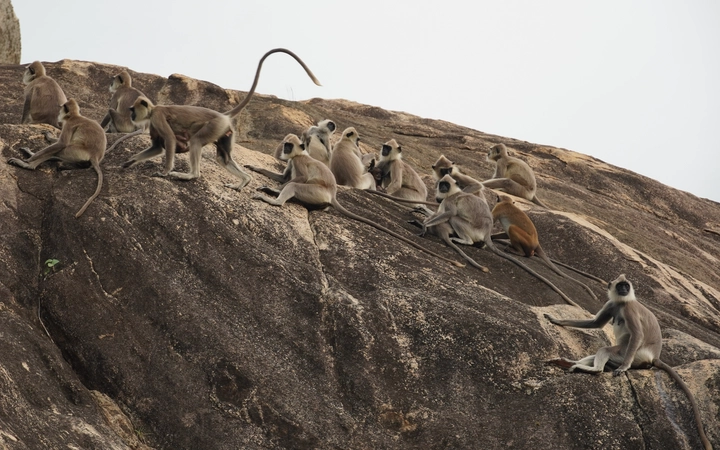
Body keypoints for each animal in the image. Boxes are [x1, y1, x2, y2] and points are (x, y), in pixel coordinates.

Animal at [122, 48, 321, 190]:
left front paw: (164, 172)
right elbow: (157, 147)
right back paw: (244, 181)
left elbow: (169, 140)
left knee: (196, 141)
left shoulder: (157, 117)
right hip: (225, 132)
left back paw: (191, 175)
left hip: (214, 126)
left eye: (132, 109)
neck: (152, 109)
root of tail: (223, 115)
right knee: (223, 158)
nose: (131, 115)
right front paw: (129, 161)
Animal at [245, 134, 464, 268]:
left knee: (294, 188)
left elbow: (295, 180)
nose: (284, 148)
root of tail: (332, 194)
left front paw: (274, 190)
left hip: (315, 192)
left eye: (289, 145)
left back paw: (274, 200)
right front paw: (255, 169)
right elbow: (282, 178)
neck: (299, 154)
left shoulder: (298, 162)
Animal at [421, 175, 581, 307]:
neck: (452, 193)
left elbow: (449, 213)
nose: (442, 187)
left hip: (473, 230)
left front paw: (425, 224)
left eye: (446, 185)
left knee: (455, 218)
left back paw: (465, 241)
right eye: (442, 184)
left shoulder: (449, 201)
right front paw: (422, 211)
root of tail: (486, 233)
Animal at [545, 275, 713, 450]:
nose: (624, 290)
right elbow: (595, 323)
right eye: (620, 286)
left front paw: (624, 368)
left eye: (626, 286)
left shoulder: (629, 309)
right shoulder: (611, 304)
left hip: (631, 354)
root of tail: (654, 357)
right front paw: (556, 320)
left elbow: (637, 335)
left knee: (605, 350)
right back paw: (569, 363)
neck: (622, 302)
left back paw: (595, 369)